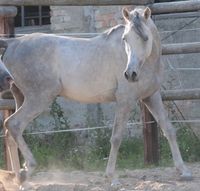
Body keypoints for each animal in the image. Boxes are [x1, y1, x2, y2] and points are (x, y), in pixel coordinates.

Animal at [0, 7, 192, 184]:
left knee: (10, 133)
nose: (130, 74)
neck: (146, 63)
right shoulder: (125, 100)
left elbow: (169, 129)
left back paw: (18, 176)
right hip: (40, 98)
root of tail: (13, 42)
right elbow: (116, 137)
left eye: (145, 37)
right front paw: (111, 177)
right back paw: (27, 170)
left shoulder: (151, 96)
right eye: (125, 38)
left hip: (21, 97)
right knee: (14, 124)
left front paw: (184, 171)